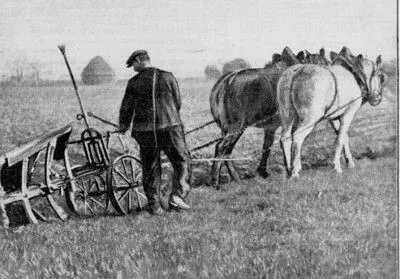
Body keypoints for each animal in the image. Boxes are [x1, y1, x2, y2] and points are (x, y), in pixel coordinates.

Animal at [208, 47, 330, 189]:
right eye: (322, 64)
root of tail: (225, 82)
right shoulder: (292, 123)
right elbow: (289, 142)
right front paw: (290, 169)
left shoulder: (271, 126)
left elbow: (267, 146)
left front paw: (263, 171)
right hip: (236, 126)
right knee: (221, 147)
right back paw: (215, 182)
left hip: (230, 128)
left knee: (227, 151)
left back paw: (237, 178)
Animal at [276, 49, 386, 178]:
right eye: (380, 76)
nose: (377, 98)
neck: (355, 74)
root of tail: (296, 72)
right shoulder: (349, 112)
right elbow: (340, 139)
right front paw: (337, 166)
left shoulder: (333, 117)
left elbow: (344, 137)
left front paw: (349, 162)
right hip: (311, 118)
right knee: (298, 136)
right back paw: (295, 171)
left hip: (287, 114)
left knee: (285, 138)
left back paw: (288, 169)